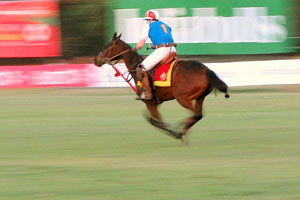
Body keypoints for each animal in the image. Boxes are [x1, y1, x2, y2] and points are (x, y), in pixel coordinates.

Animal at [94, 32, 230, 141]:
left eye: (107, 47)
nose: (96, 60)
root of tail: (207, 71)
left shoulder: (150, 103)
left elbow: (155, 121)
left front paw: (173, 131)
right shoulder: (155, 103)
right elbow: (155, 121)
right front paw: (175, 132)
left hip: (182, 97)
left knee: (195, 114)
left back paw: (179, 129)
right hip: (200, 97)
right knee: (198, 115)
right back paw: (181, 131)